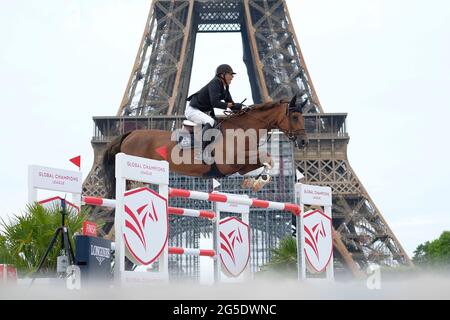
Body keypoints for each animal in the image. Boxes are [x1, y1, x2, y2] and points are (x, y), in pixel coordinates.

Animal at [102, 94, 308, 198]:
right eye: (294, 116)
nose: (304, 142)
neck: (241, 129)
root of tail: (130, 134)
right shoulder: (230, 164)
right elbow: (267, 159)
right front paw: (257, 182)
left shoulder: (241, 166)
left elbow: (266, 161)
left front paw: (254, 182)